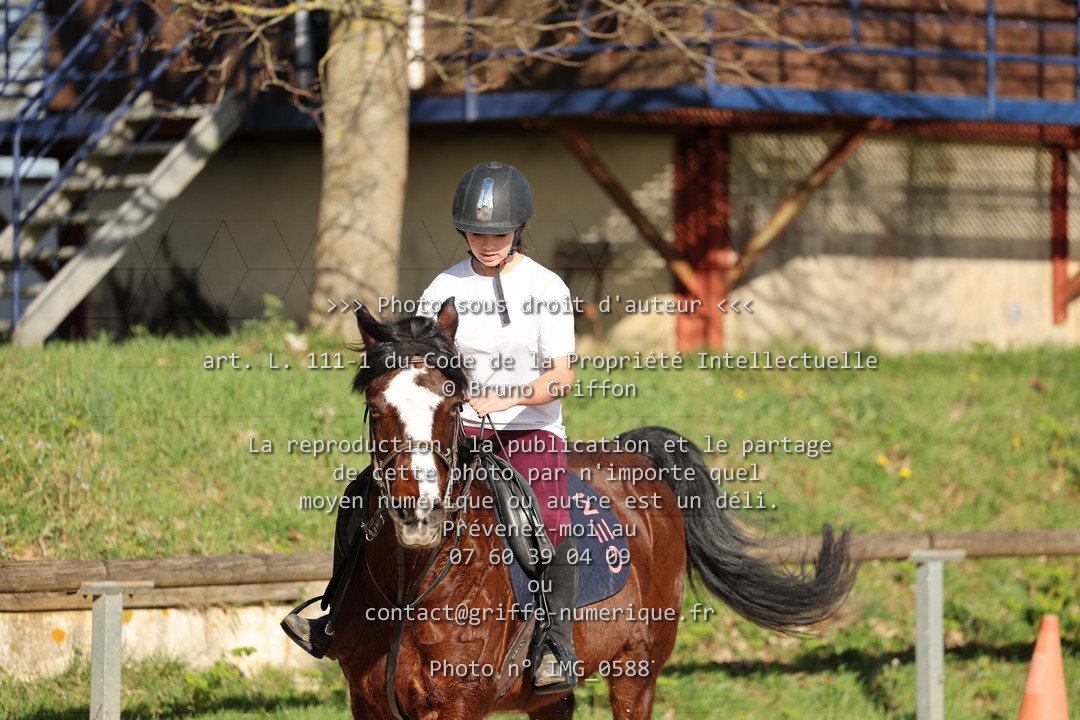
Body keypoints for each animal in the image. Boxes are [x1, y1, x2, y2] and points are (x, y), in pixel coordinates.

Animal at [328, 298, 856, 719]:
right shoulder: (368, 702)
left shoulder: (459, 704)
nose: (420, 513)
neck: (410, 584)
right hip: (551, 696)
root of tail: (635, 458)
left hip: (637, 671)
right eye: (376, 406)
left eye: (455, 404)